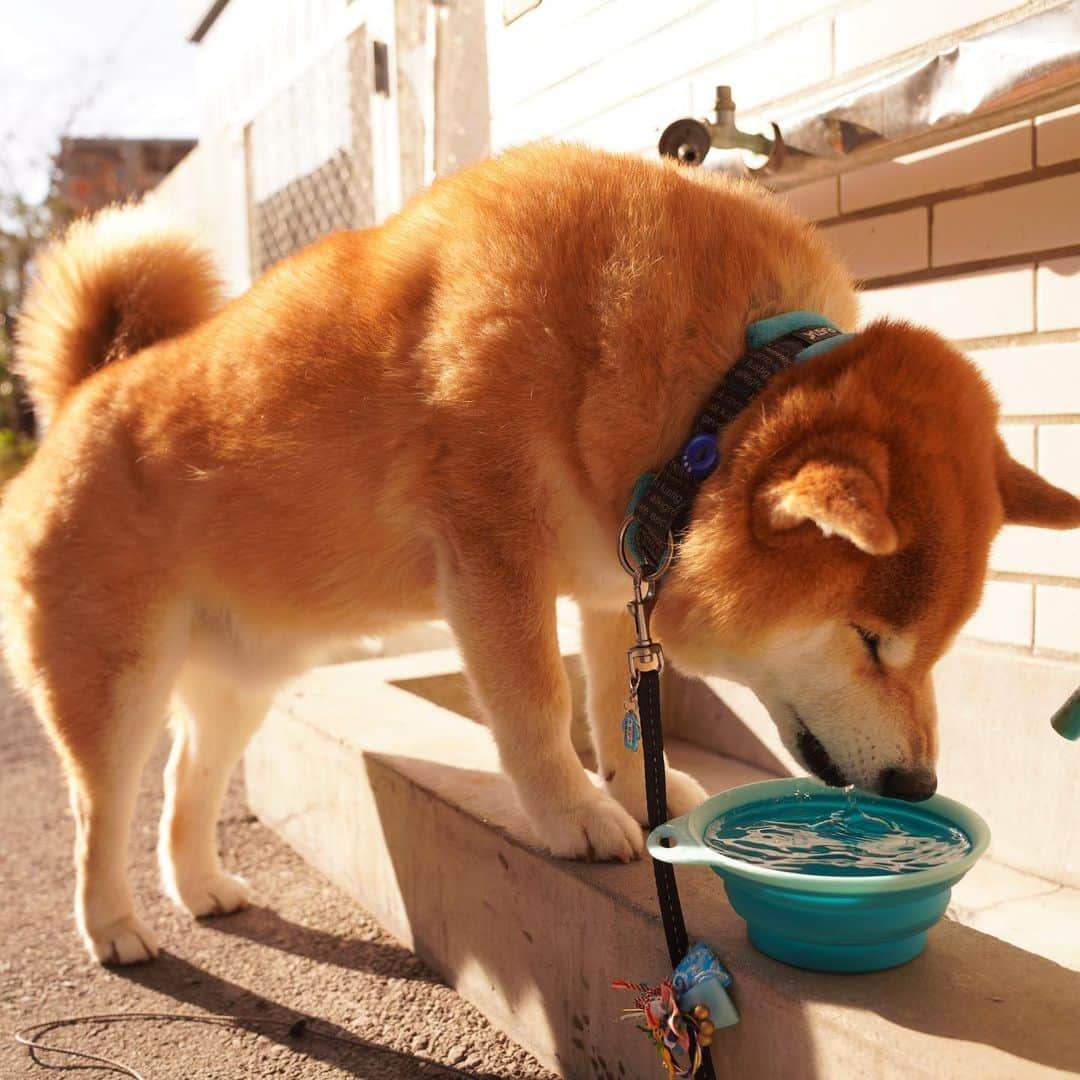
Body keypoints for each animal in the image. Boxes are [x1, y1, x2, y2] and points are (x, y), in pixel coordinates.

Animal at [4, 143, 1075, 963]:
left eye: (936, 649)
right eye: (869, 639)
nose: (917, 788)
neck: (705, 401)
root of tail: (77, 401)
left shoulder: (620, 572)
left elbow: (619, 709)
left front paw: (635, 788)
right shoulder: (492, 556)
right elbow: (536, 705)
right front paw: (576, 817)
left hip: (240, 683)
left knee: (185, 786)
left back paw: (201, 886)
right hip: (115, 681)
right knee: (101, 811)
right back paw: (114, 928)